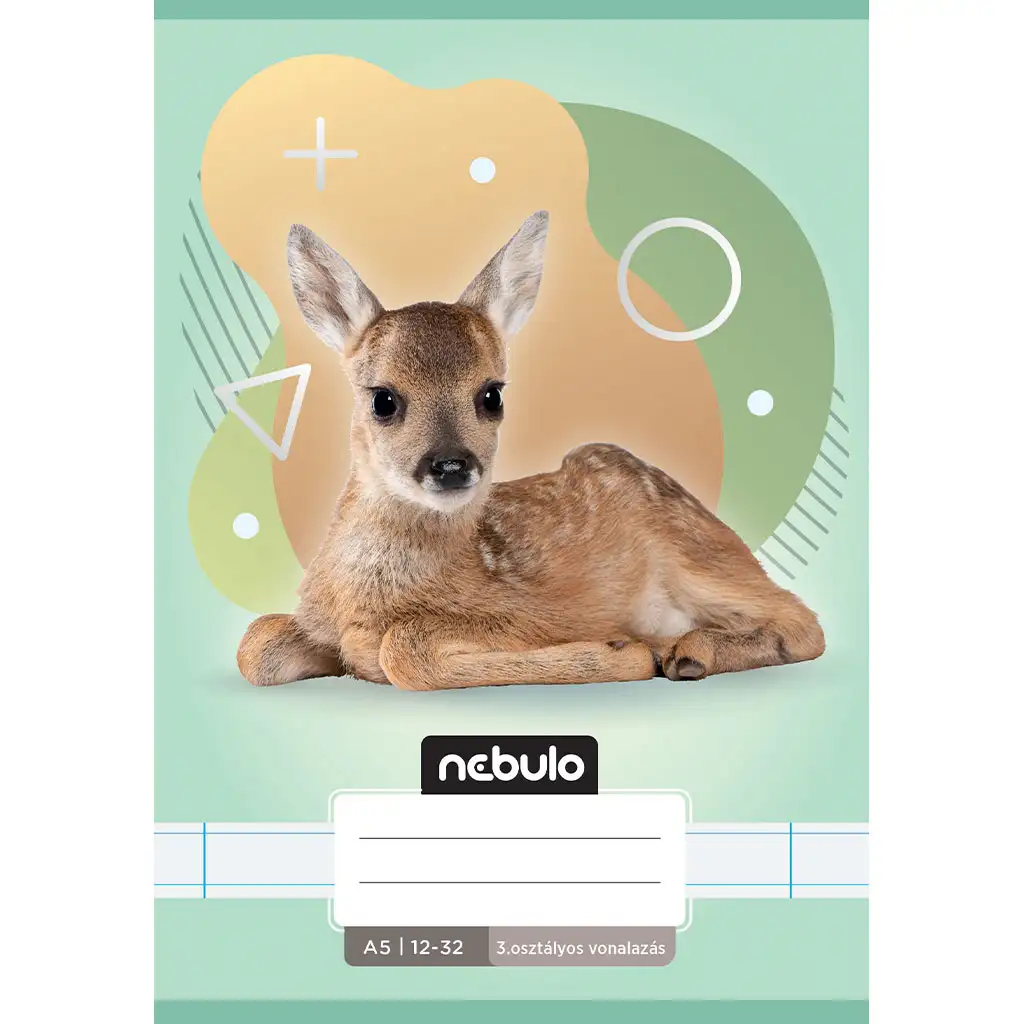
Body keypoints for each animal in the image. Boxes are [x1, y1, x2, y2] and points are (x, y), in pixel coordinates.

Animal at [236, 211, 825, 691]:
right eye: (383, 399)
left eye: (492, 394)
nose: (451, 465)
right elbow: (255, 643)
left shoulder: (530, 612)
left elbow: (404, 649)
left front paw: (623, 650)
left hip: (693, 551)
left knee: (802, 620)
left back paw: (686, 652)